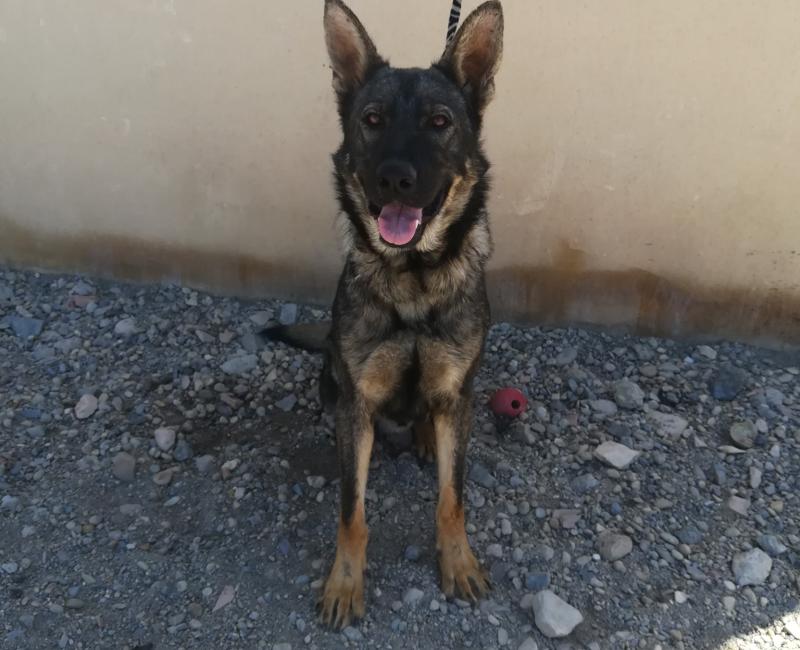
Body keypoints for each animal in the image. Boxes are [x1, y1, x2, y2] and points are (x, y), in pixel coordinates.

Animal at [263, 0, 503, 628]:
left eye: (440, 122)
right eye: (371, 119)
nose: (395, 177)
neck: (412, 279)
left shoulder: (458, 390)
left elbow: (452, 498)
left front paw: (458, 561)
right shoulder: (357, 402)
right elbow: (352, 511)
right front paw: (345, 584)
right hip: (332, 382)